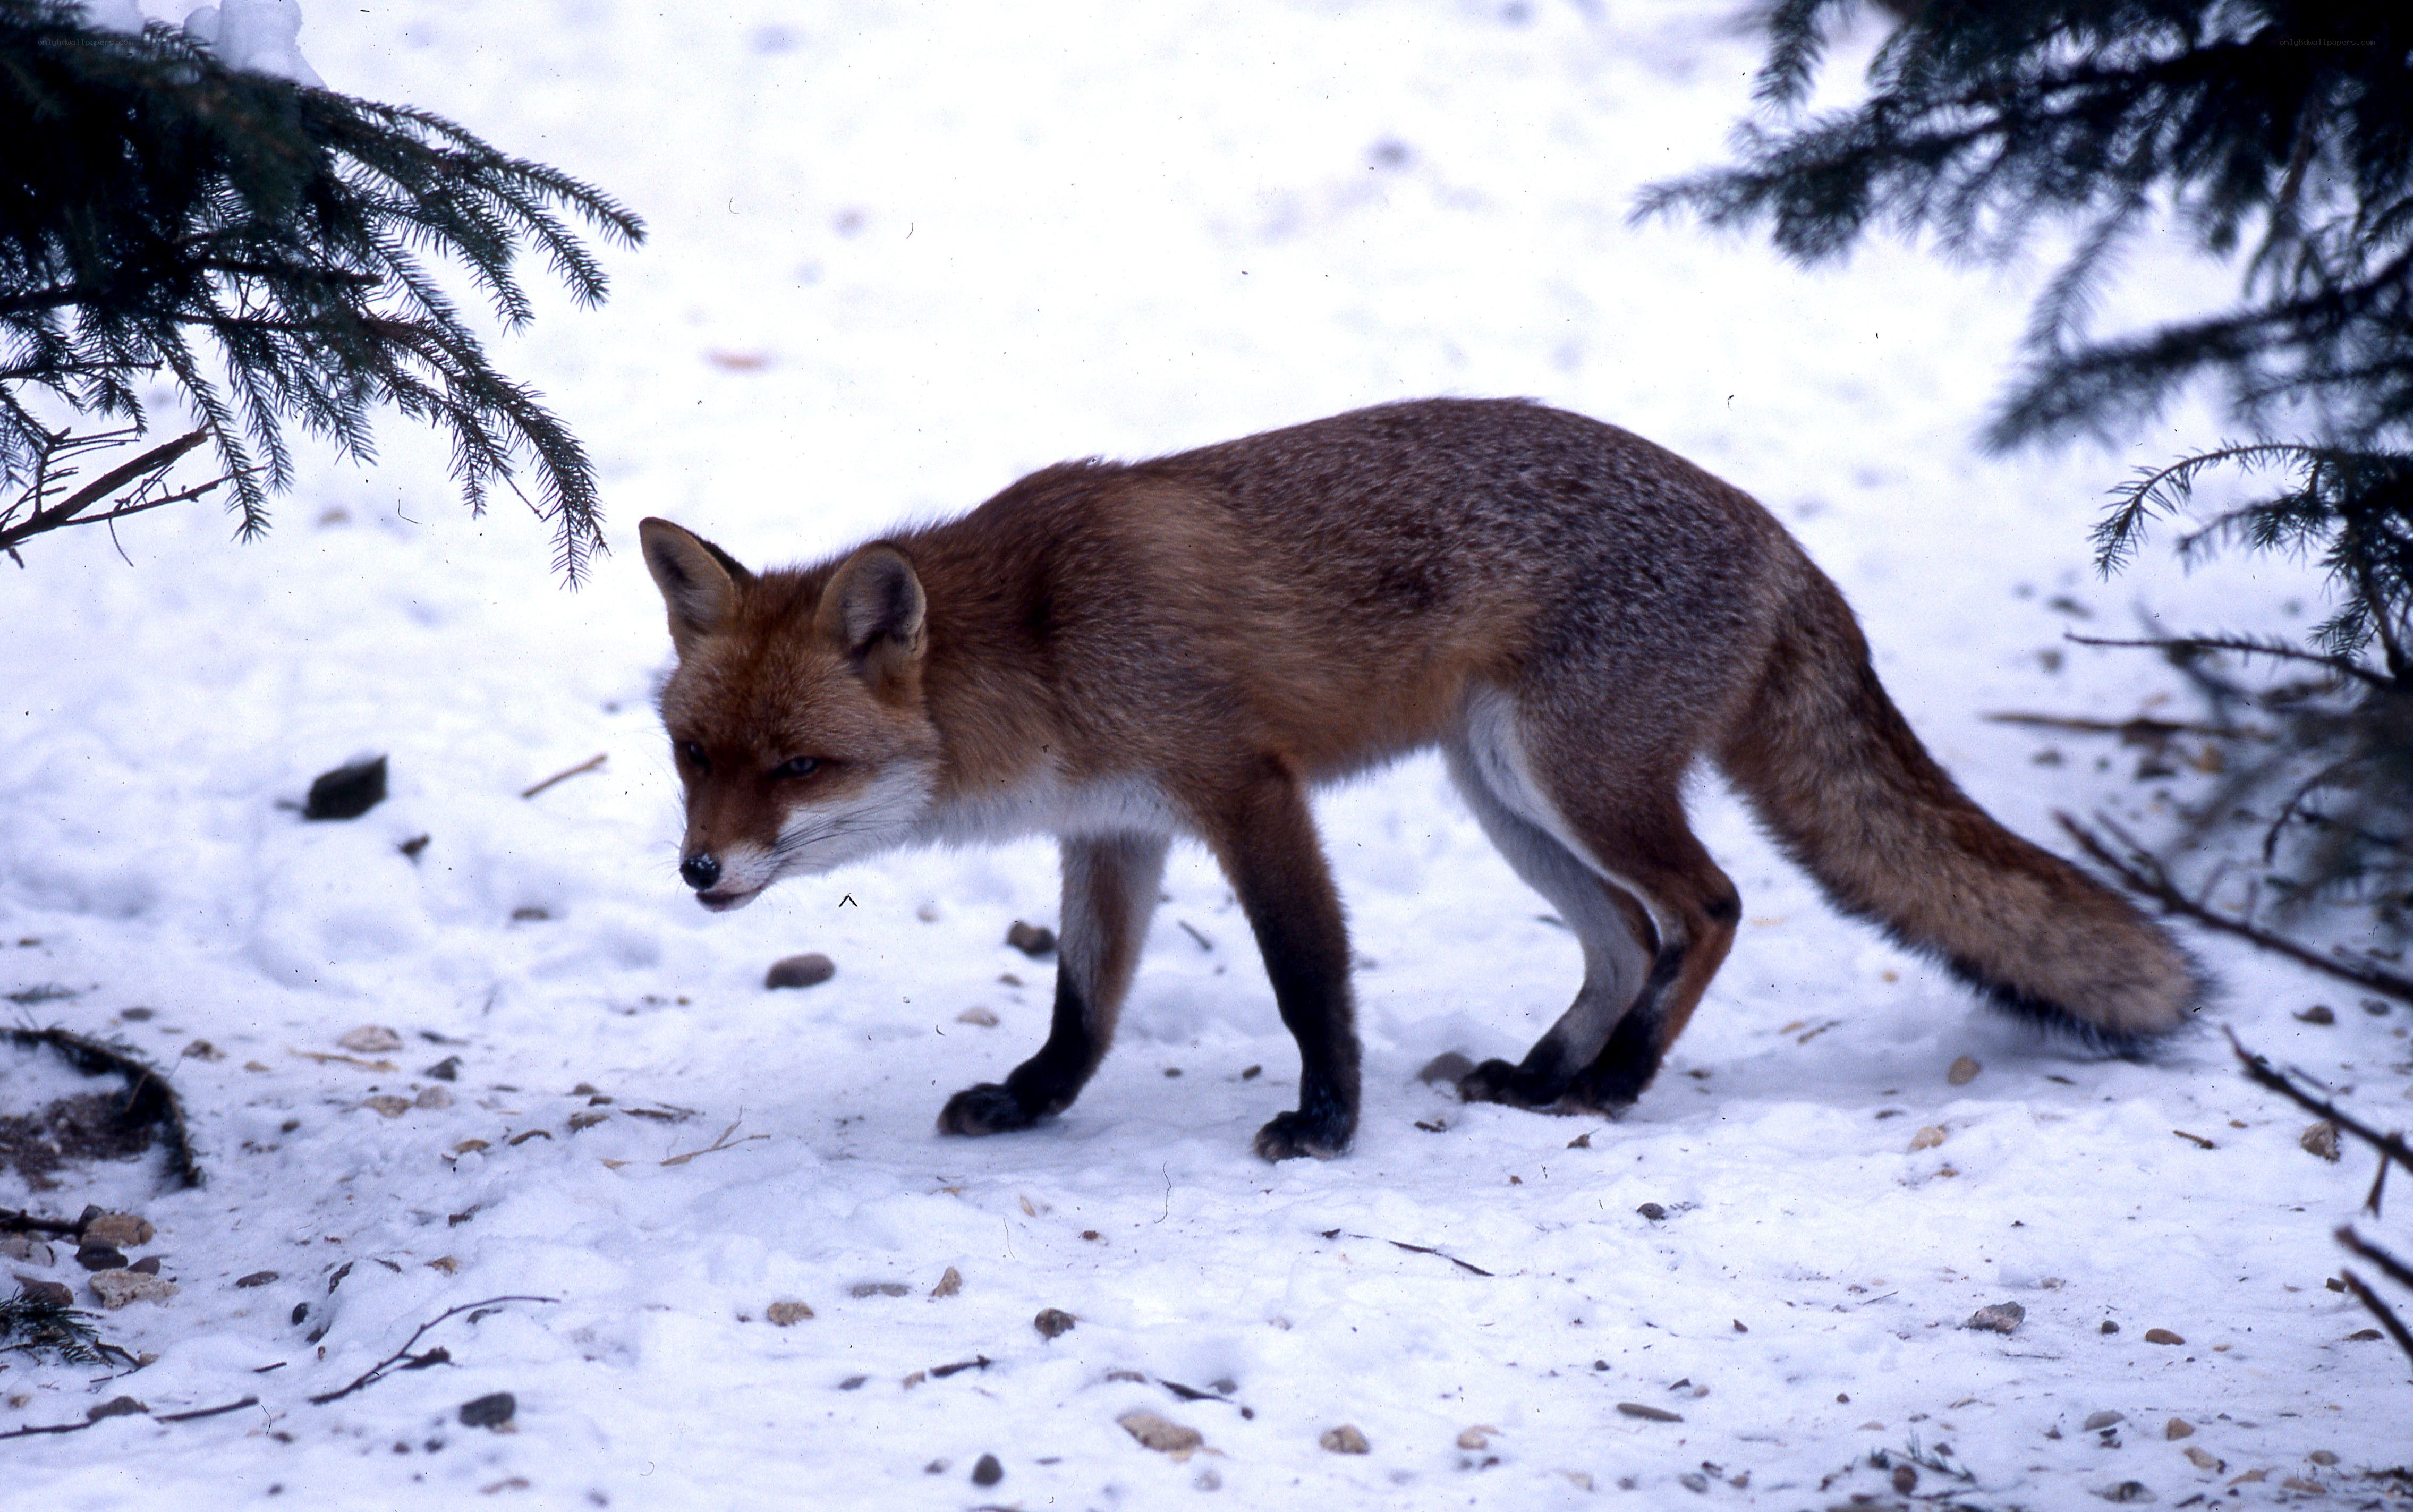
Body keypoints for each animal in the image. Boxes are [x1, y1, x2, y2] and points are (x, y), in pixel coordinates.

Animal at [639, 398, 2202, 1161]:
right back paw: (1541, 1071)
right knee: (1620, 935)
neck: (1035, 643)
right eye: (692, 756)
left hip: (1570, 776)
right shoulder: (1114, 830)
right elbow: (1083, 1004)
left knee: (1704, 908)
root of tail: (1772, 532)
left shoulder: (1245, 789)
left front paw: (1327, 1125)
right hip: (1499, 788)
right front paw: (1032, 1104)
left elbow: (1305, 977)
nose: (698, 869)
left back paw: (1614, 1083)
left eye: (798, 765)